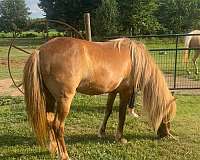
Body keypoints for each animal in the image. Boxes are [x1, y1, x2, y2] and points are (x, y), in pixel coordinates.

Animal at [23, 37, 177, 159]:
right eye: (167, 117)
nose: (165, 135)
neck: (134, 59)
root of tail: (40, 51)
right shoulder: (125, 91)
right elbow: (122, 115)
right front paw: (120, 138)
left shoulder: (113, 91)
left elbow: (108, 110)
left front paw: (102, 132)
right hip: (64, 100)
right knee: (57, 125)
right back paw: (64, 154)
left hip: (50, 98)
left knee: (49, 120)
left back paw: (53, 148)